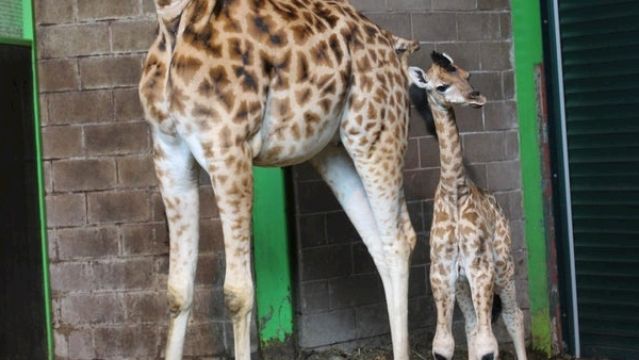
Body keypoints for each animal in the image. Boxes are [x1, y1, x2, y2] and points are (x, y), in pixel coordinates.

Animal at [138, 0, 422, 358]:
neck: (173, 20)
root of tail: (398, 49)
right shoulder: (168, 149)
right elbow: (177, 290)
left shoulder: (228, 147)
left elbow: (238, 293)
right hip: (333, 150)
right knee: (382, 240)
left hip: (376, 133)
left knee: (398, 239)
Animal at [408, 52, 528, 360]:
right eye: (441, 86)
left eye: (467, 75)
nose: (477, 97)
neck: (454, 192)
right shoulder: (442, 273)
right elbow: (444, 345)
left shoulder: (480, 268)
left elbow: (489, 346)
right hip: (464, 283)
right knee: (473, 326)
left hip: (503, 265)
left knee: (513, 315)